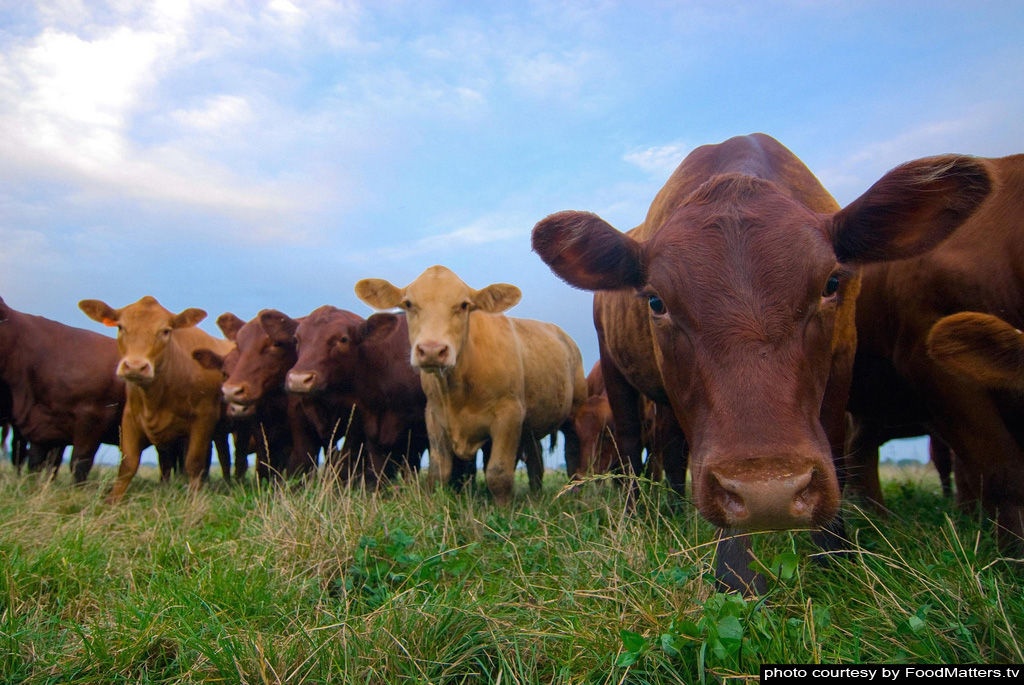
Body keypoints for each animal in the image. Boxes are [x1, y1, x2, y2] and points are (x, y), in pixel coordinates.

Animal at [79, 296, 235, 503]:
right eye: (120, 327)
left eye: (166, 331)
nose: (135, 366)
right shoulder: (130, 417)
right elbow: (128, 464)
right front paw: (112, 500)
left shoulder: (205, 417)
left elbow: (194, 462)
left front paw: (194, 499)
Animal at [355, 265, 587, 505]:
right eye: (409, 303)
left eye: (464, 305)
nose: (432, 350)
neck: (457, 389)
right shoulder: (434, 416)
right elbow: (438, 471)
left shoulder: (509, 414)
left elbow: (498, 473)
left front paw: (503, 510)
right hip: (531, 425)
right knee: (536, 459)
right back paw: (536, 494)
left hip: (576, 410)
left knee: (572, 453)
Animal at [531, 133, 991, 593]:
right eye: (656, 302)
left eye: (831, 283)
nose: (769, 493)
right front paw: (736, 574)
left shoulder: (843, 358)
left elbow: (834, 445)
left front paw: (834, 554)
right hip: (616, 372)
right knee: (631, 447)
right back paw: (638, 516)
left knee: (671, 447)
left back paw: (676, 511)